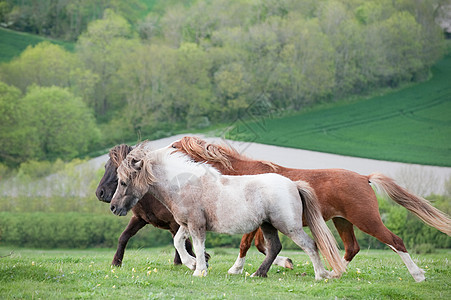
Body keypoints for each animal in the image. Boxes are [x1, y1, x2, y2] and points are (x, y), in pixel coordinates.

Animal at [173, 136, 451, 282]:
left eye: (173, 148)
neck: (237, 174)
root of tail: (365, 177)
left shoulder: (251, 220)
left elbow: (246, 244)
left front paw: (236, 269)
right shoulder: (263, 223)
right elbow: (262, 246)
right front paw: (283, 264)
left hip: (366, 219)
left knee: (395, 241)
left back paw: (418, 275)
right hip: (342, 221)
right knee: (352, 248)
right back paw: (335, 272)